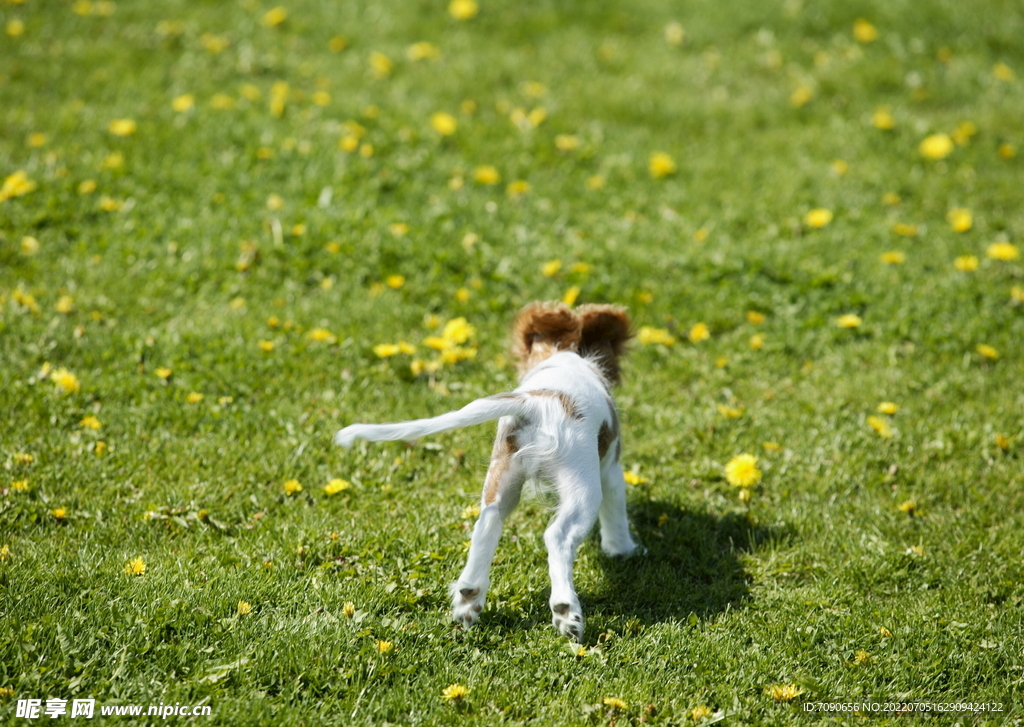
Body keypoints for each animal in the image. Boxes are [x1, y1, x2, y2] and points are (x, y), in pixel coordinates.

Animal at [335, 301, 638, 638]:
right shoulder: (611, 470)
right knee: (558, 536)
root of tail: (537, 401)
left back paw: (469, 597)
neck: (566, 356)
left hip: (503, 473)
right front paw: (622, 550)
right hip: (581, 484)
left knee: (488, 522)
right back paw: (565, 611)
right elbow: (616, 513)